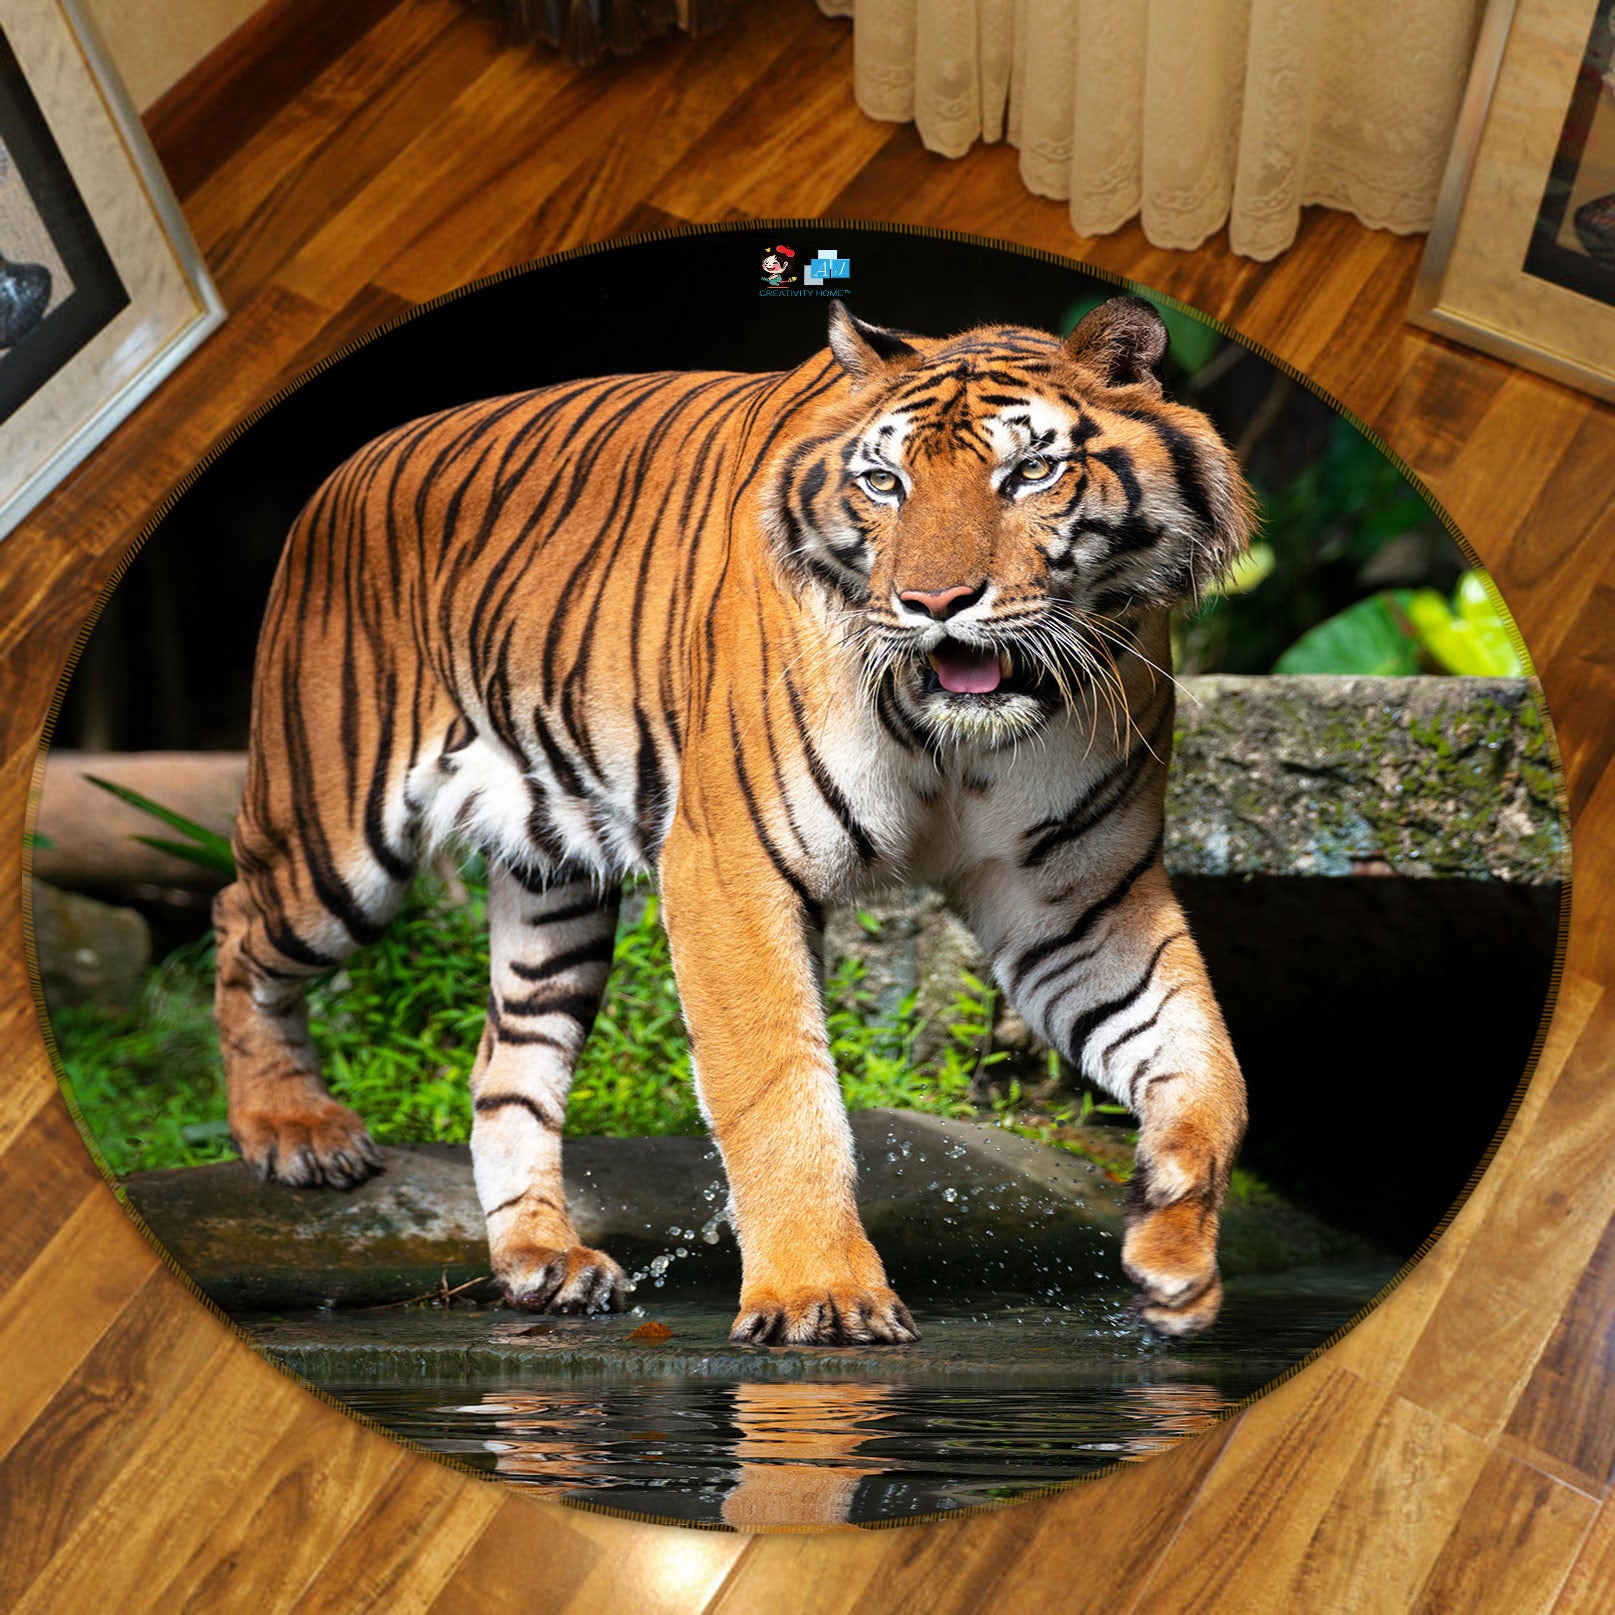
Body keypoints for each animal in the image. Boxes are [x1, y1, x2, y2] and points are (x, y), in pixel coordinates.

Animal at [212, 293, 1253, 1345]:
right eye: (885, 483)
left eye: (1030, 471)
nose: (933, 603)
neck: (960, 736)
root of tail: (346, 467)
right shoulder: (730, 868)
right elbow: (779, 1091)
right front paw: (817, 1295)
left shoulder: (1074, 900)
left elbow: (1204, 1063)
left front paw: (1173, 1245)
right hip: (333, 835)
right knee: (237, 923)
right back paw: (295, 1131)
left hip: (554, 884)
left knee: (506, 1065)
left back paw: (541, 1259)